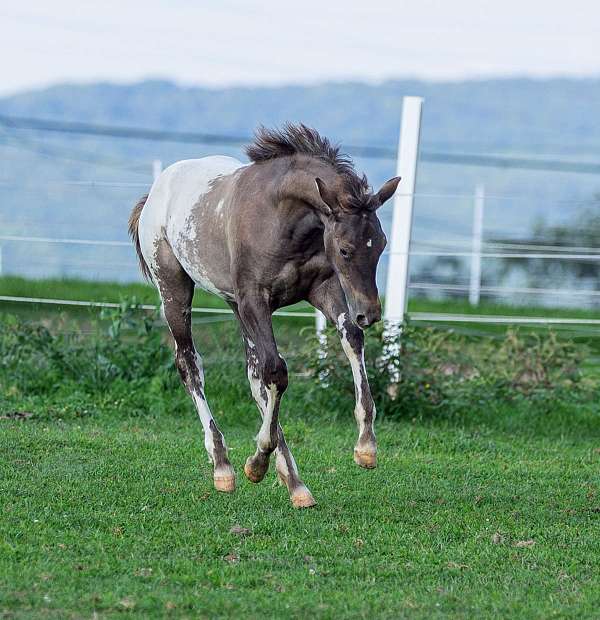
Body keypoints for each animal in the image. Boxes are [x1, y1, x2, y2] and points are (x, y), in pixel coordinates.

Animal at [129, 122, 400, 508]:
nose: (371, 313)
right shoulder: (256, 300)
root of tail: (153, 196)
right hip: (175, 289)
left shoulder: (322, 288)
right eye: (346, 250)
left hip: (235, 305)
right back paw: (224, 466)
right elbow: (277, 371)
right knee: (190, 365)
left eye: (381, 244)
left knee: (254, 375)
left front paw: (366, 446)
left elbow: (350, 339)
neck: (282, 218)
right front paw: (256, 462)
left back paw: (295, 484)